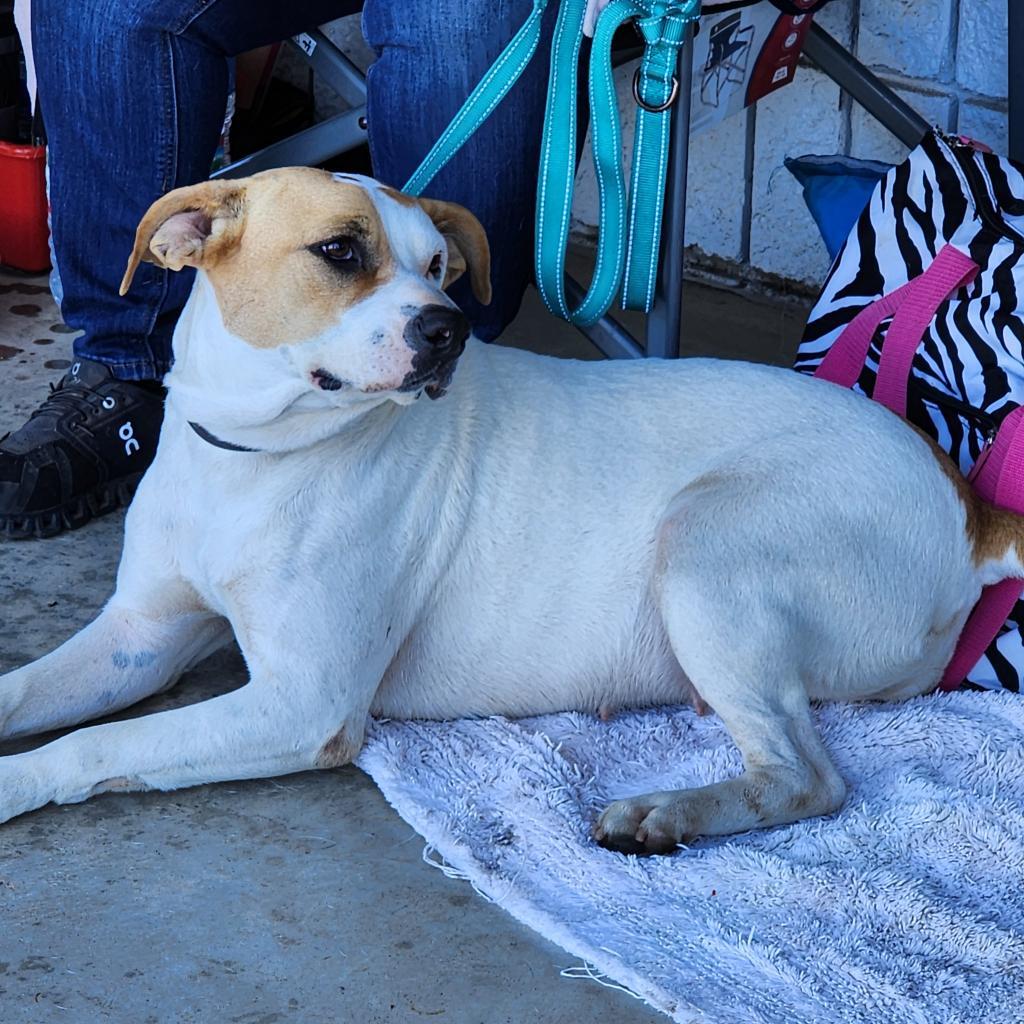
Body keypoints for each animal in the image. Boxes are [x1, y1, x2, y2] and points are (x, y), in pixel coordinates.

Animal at [2, 169, 1024, 856]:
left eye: (439, 266)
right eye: (341, 251)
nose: (447, 329)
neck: (255, 457)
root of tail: (967, 501)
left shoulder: (303, 703)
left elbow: (98, 743)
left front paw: (20, 781)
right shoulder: (140, 635)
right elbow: (27, 691)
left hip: (705, 542)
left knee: (807, 779)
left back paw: (665, 813)